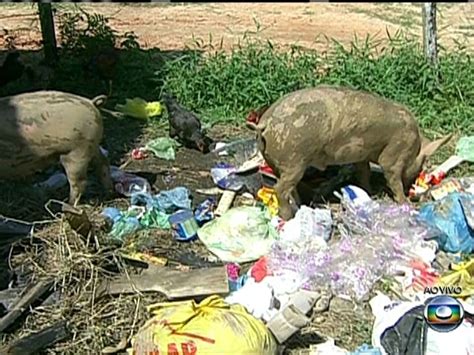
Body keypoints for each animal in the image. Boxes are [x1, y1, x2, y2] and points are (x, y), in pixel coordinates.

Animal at [256, 85, 452, 221]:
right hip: (294, 159)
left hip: (277, 161)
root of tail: (265, 123)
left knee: (288, 187)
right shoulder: (395, 152)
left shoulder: (362, 155)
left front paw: (369, 193)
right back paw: (288, 217)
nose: (412, 186)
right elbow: (392, 175)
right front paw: (406, 203)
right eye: (422, 164)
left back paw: (300, 206)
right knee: (279, 188)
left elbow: (363, 172)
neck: (416, 144)